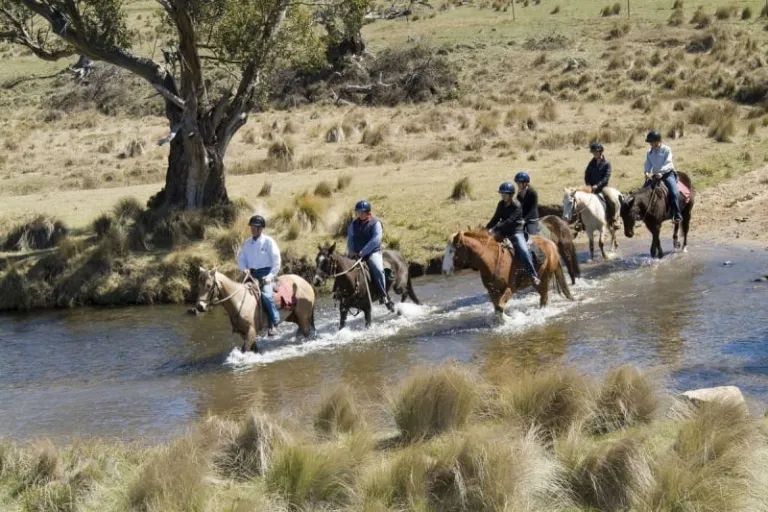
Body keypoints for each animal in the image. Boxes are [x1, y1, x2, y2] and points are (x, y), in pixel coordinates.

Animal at [442, 230, 573, 323]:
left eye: (451, 251)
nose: (444, 270)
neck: (492, 259)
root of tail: (552, 245)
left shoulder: (510, 288)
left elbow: (500, 306)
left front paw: (511, 318)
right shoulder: (492, 291)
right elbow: (497, 308)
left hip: (545, 279)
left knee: (544, 299)